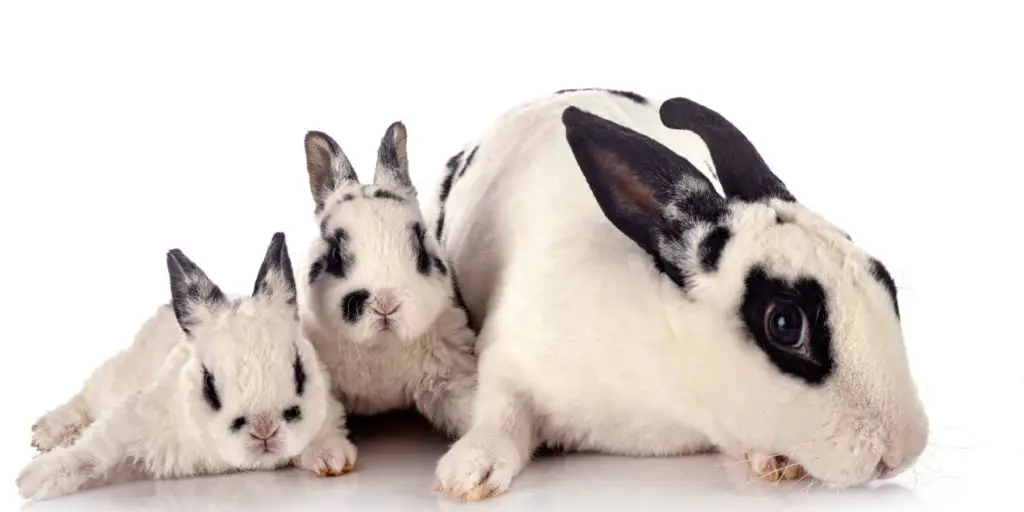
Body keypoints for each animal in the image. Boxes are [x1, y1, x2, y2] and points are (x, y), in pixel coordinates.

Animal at [18, 234, 358, 501]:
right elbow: (94, 451)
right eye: (209, 386)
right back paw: (44, 433)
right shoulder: (134, 418)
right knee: (83, 400)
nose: (265, 431)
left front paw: (332, 458)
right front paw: (32, 480)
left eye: (300, 372)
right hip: (113, 375)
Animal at [292, 120, 475, 444]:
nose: (386, 304)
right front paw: (330, 454)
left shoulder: (449, 373)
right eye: (335, 253)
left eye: (420, 244)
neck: (379, 348)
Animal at [428, 88, 933, 499]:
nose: (904, 452)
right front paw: (469, 473)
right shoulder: (508, 355)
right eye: (785, 324)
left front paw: (774, 462)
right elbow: (501, 411)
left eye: (883, 278)